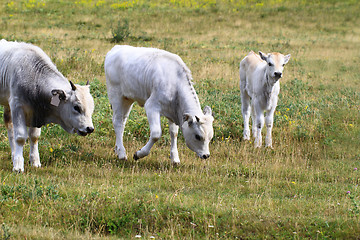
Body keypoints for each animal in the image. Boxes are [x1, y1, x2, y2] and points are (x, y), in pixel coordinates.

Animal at [0, 39, 95, 172]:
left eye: (92, 108)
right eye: (76, 107)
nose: (89, 128)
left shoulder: (35, 112)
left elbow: (34, 136)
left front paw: (35, 161)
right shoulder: (17, 107)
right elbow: (20, 137)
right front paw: (18, 166)